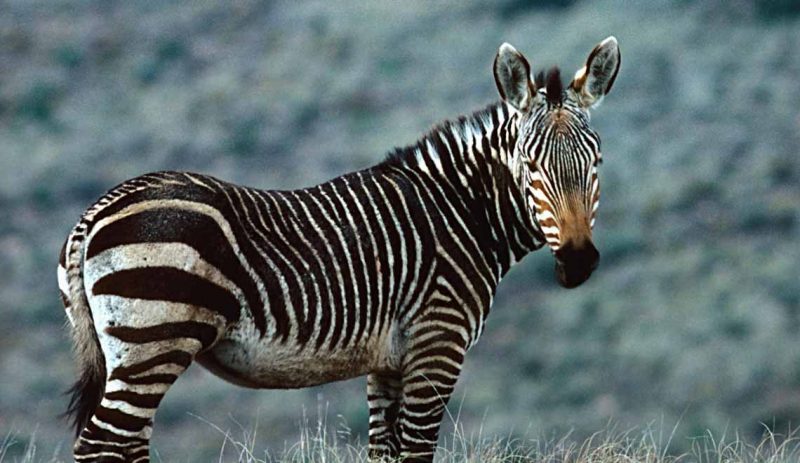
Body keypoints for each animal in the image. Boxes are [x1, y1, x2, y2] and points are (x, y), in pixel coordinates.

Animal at [59, 37, 620, 463]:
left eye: (596, 163)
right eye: (531, 166)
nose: (578, 262)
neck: (459, 212)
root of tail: (95, 213)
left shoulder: (388, 361)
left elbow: (385, 453)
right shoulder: (437, 343)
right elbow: (417, 452)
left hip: (129, 351)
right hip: (154, 339)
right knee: (102, 445)